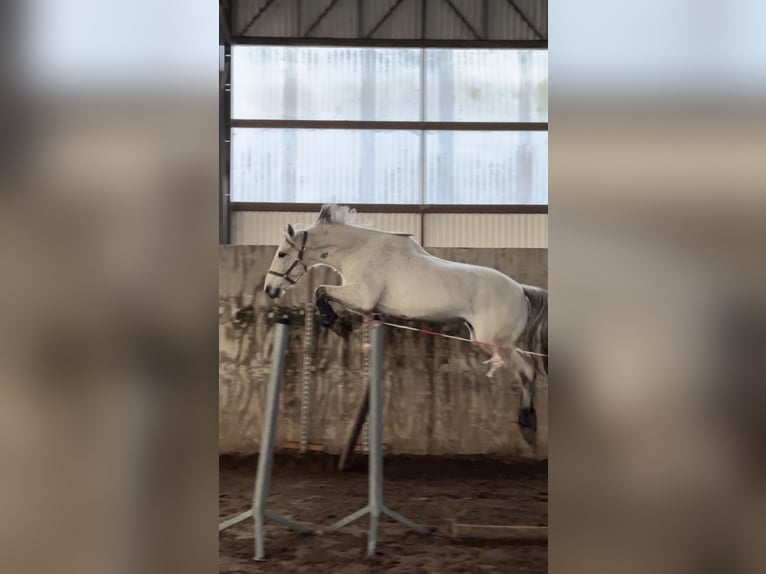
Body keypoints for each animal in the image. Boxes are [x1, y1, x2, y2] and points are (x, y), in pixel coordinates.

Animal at [263, 204, 548, 429]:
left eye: (282, 254)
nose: (269, 289)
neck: (360, 252)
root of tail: (520, 290)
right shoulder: (368, 305)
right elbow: (325, 294)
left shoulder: (362, 297)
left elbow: (320, 291)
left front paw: (335, 324)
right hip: (487, 340)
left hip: (496, 342)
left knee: (528, 370)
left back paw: (526, 418)